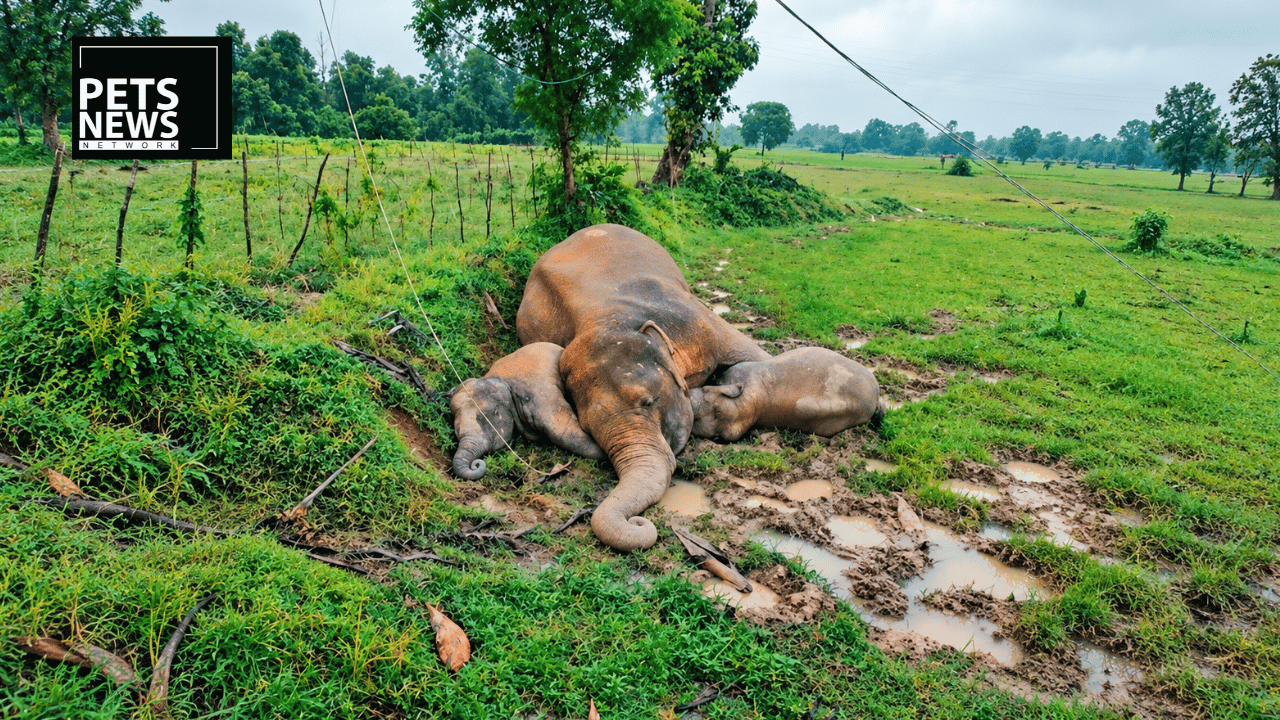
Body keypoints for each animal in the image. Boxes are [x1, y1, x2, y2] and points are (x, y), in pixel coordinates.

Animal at [449, 342, 604, 480]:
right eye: (456, 431)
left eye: (486, 418)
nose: (476, 464)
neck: (497, 380)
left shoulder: (539, 394)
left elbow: (563, 432)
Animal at [516, 224, 771, 551]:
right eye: (587, 428)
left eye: (649, 402)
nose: (638, 521)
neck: (607, 319)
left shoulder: (694, 319)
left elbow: (754, 356)